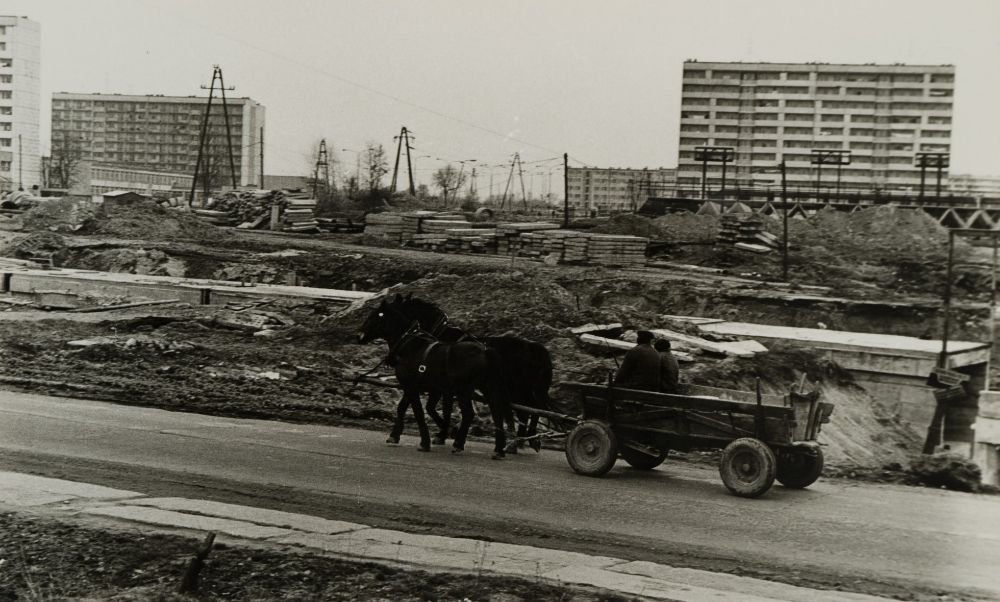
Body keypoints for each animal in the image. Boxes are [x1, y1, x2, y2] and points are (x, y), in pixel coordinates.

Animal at [380, 290, 560, 450]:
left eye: (395, 308)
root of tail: (535, 347)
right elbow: (416, 406)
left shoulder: (439, 387)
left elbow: (437, 408)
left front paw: (444, 434)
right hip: (520, 390)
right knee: (531, 410)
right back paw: (523, 440)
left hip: (519, 389)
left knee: (533, 409)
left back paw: (522, 441)